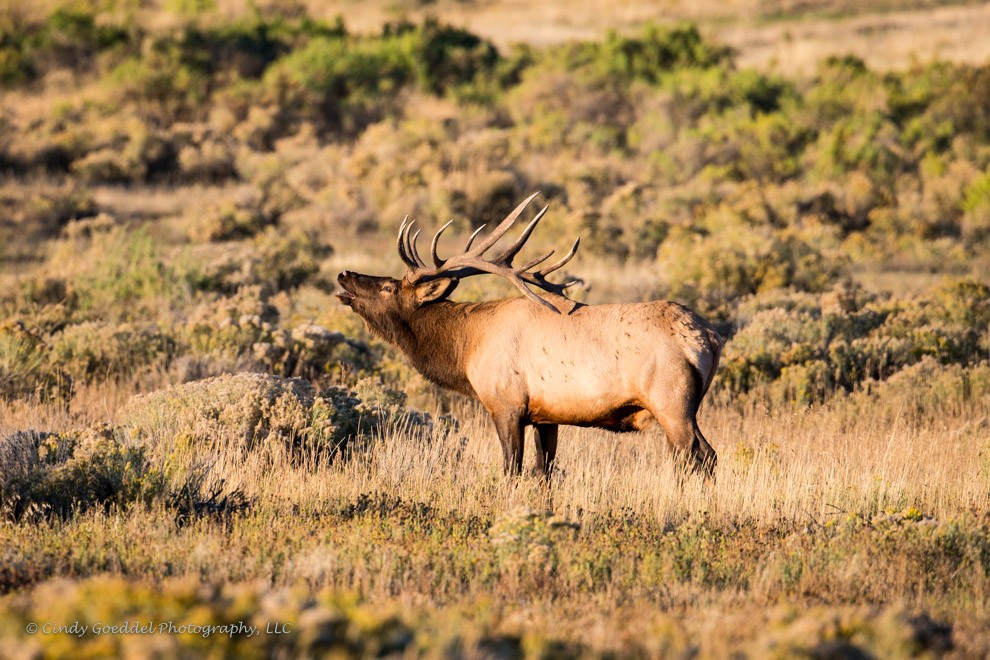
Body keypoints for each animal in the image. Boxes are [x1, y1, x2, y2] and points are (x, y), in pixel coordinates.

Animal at [336, 193, 720, 476]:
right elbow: (543, 470)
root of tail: (709, 338)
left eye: (387, 287)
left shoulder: (506, 404)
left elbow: (512, 468)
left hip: (671, 402)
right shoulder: (546, 417)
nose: (344, 275)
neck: (465, 348)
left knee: (702, 455)